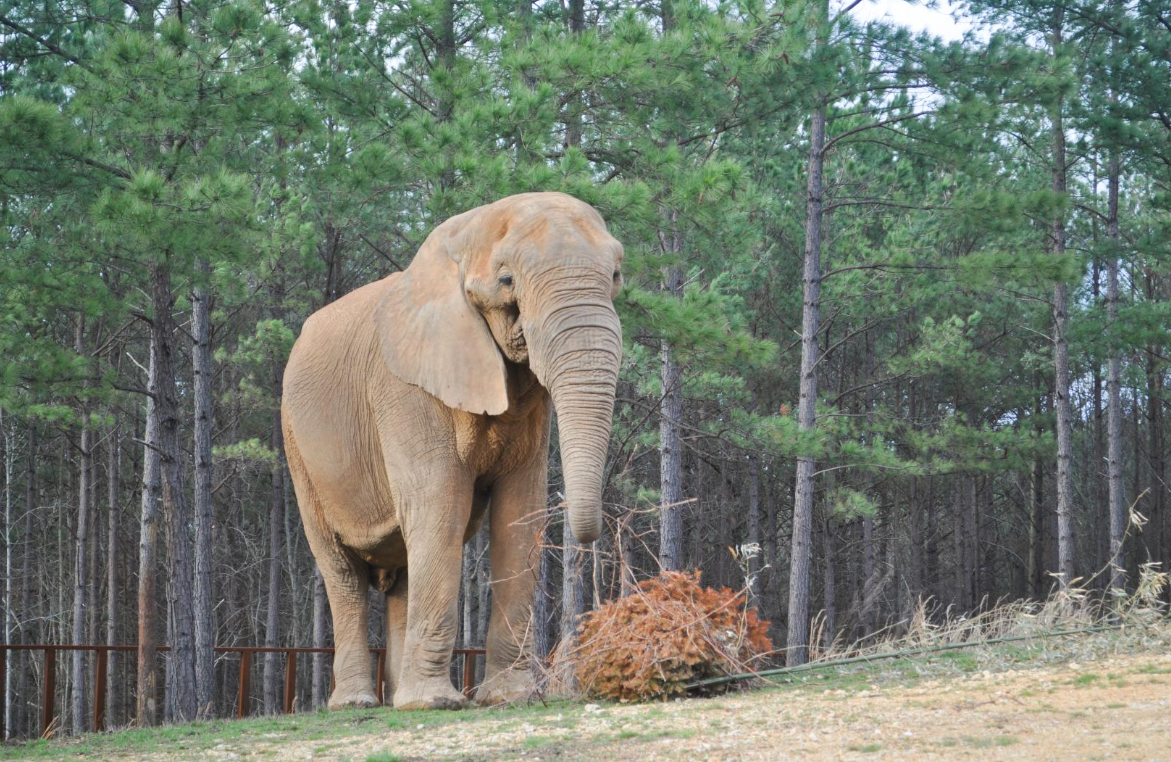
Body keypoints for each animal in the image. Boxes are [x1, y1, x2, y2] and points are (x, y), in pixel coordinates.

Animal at [281, 189, 622, 711]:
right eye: (507, 281)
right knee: (342, 571)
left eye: (617, 275)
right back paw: (359, 703)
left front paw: (509, 698)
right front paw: (435, 704)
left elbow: (519, 509)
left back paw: (396, 698)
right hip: (297, 448)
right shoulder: (405, 389)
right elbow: (441, 504)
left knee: (402, 569)